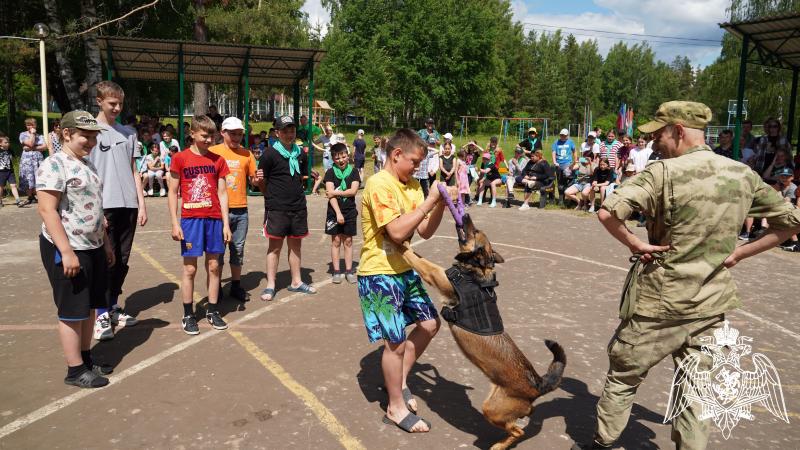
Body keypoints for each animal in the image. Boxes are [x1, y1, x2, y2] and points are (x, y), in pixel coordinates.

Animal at [398, 214, 564, 450]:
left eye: (475, 231)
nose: (465, 214)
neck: (475, 271)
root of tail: (538, 385)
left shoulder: (435, 274)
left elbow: (416, 258)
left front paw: (398, 242)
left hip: (492, 410)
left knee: (519, 431)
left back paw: (500, 446)